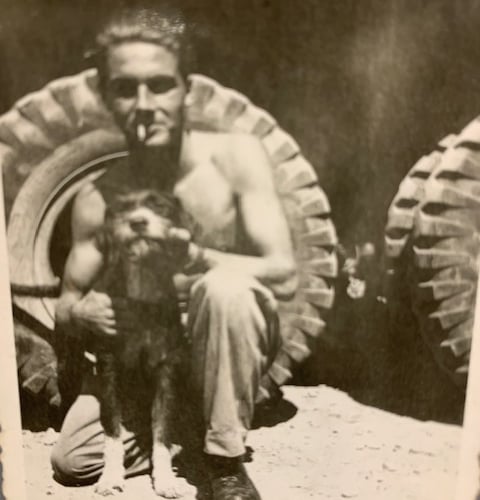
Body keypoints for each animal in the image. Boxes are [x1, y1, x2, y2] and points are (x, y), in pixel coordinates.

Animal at [93, 189, 190, 498]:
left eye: (158, 205)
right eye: (123, 207)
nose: (137, 222)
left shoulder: (166, 370)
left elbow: (162, 431)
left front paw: (166, 479)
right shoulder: (109, 369)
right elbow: (113, 431)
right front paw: (110, 477)